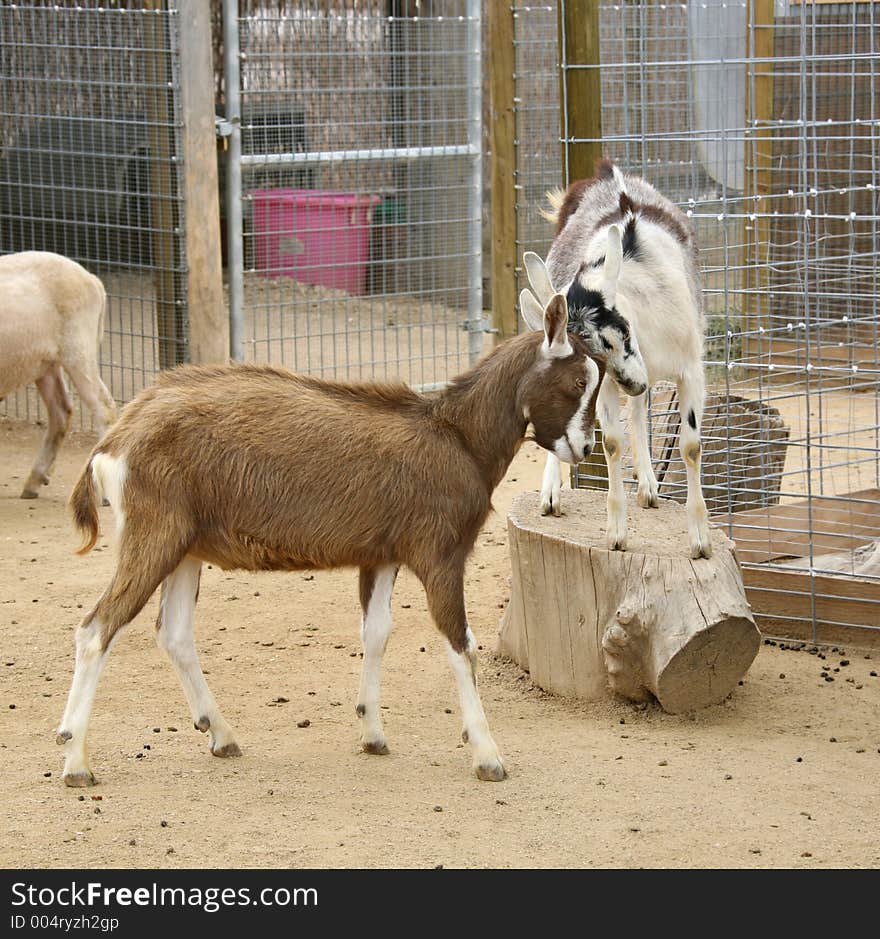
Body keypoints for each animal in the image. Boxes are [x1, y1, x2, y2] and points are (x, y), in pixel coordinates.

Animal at [0, 250, 117, 500]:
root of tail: (92, 279)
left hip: (78, 349)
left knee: (103, 407)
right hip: (45, 364)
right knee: (61, 412)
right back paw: (34, 481)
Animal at [55, 294, 604, 784]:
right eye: (579, 380)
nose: (582, 448)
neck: (458, 437)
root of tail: (115, 440)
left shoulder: (383, 556)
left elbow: (377, 632)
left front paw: (373, 734)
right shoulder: (441, 554)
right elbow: (462, 644)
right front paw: (488, 757)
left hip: (185, 547)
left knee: (172, 633)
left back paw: (220, 735)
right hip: (154, 534)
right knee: (96, 628)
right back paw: (76, 761)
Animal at [524, 161, 712, 560]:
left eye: (620, 333)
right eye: (592, 356)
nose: (632, 382)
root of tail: (604, 175)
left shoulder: (690, 369)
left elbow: (690, 446)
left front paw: (701, 542)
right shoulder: (607, 383)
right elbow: (611, 443)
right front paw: (616, 536)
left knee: (640, 410)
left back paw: (648, 488)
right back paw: (551, 495)